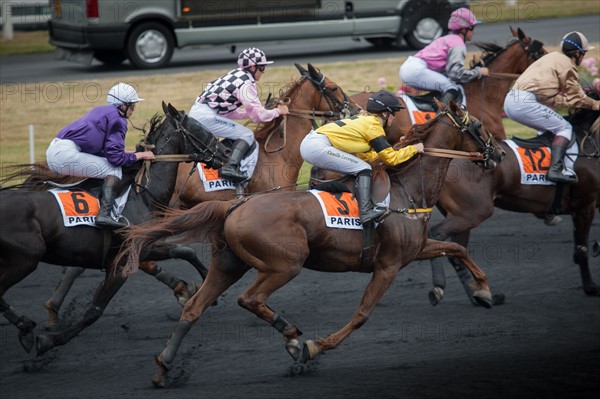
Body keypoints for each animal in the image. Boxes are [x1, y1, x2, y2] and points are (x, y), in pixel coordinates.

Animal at [0, 104, 227, 356]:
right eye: (201, 129)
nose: (226, 152)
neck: (141, 194)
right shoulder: (121, 263)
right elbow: (94, 310)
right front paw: (50, 340)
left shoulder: (144, 246)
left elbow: (186, 251)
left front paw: (203, 286)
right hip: (25, 259)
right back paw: (26, 328)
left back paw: (25, 327)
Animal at [116, 100, 502, 388]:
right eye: (478, 127)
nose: (498, 153)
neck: (407, 189)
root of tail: (235, 204)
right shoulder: (388, 265)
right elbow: (362, 314)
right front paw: (316, 346)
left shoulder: (416, 249)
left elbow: (457, 248)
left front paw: (483, 291)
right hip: (286, 263)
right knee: (250, 298)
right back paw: (291, 337)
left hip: (229, 264)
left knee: (194, 308)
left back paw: (164, 366)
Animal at [428, 94, 596, 306]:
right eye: (479, 125)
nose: (499, 153)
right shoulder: (586, 205)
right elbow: (582, 250)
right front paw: (591, 286)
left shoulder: (579, 208)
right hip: (472, 212)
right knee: (439, 238)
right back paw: (440, 287)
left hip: (462, 215)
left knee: (457, 251)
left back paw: (482, 296)